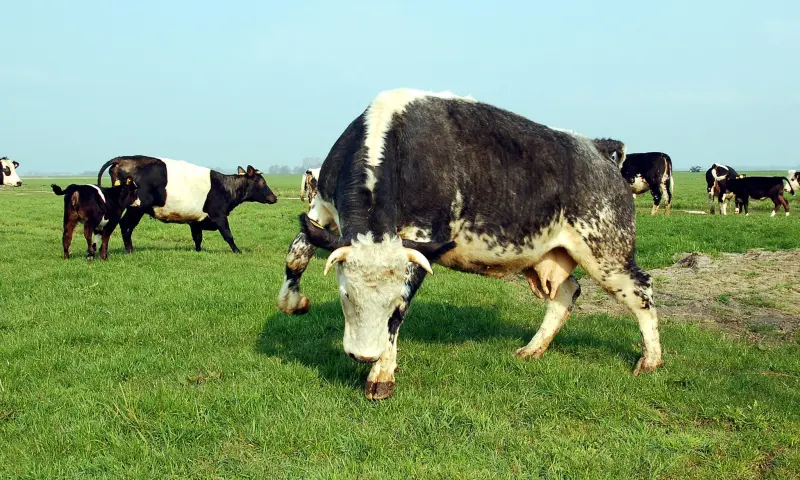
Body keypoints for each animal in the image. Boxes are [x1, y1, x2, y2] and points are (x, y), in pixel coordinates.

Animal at [96, 156, 277, 254]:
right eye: (262, 182)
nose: (274, 197)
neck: (225, 187)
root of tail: (123, 159)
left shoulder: (195, 220)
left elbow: (197, 238)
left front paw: (198, 252)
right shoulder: (219, 215)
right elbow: (228, 235)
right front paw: (237, 251)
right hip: (136, 208)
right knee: (125, 225)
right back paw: (129, 250)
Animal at [276, 88, 663, 400]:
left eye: (394, 302)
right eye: (345, 295)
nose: (364, 355)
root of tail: (598, 149)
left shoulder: (422, 239)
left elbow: (400, 311)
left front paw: (382, 374)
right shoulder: (323, 206)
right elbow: (297, 252)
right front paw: (293, 302)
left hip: (606, 252)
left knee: (641, 291)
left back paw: (651, 360)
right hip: (548, 256)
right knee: (567, 292)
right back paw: (532, 349)